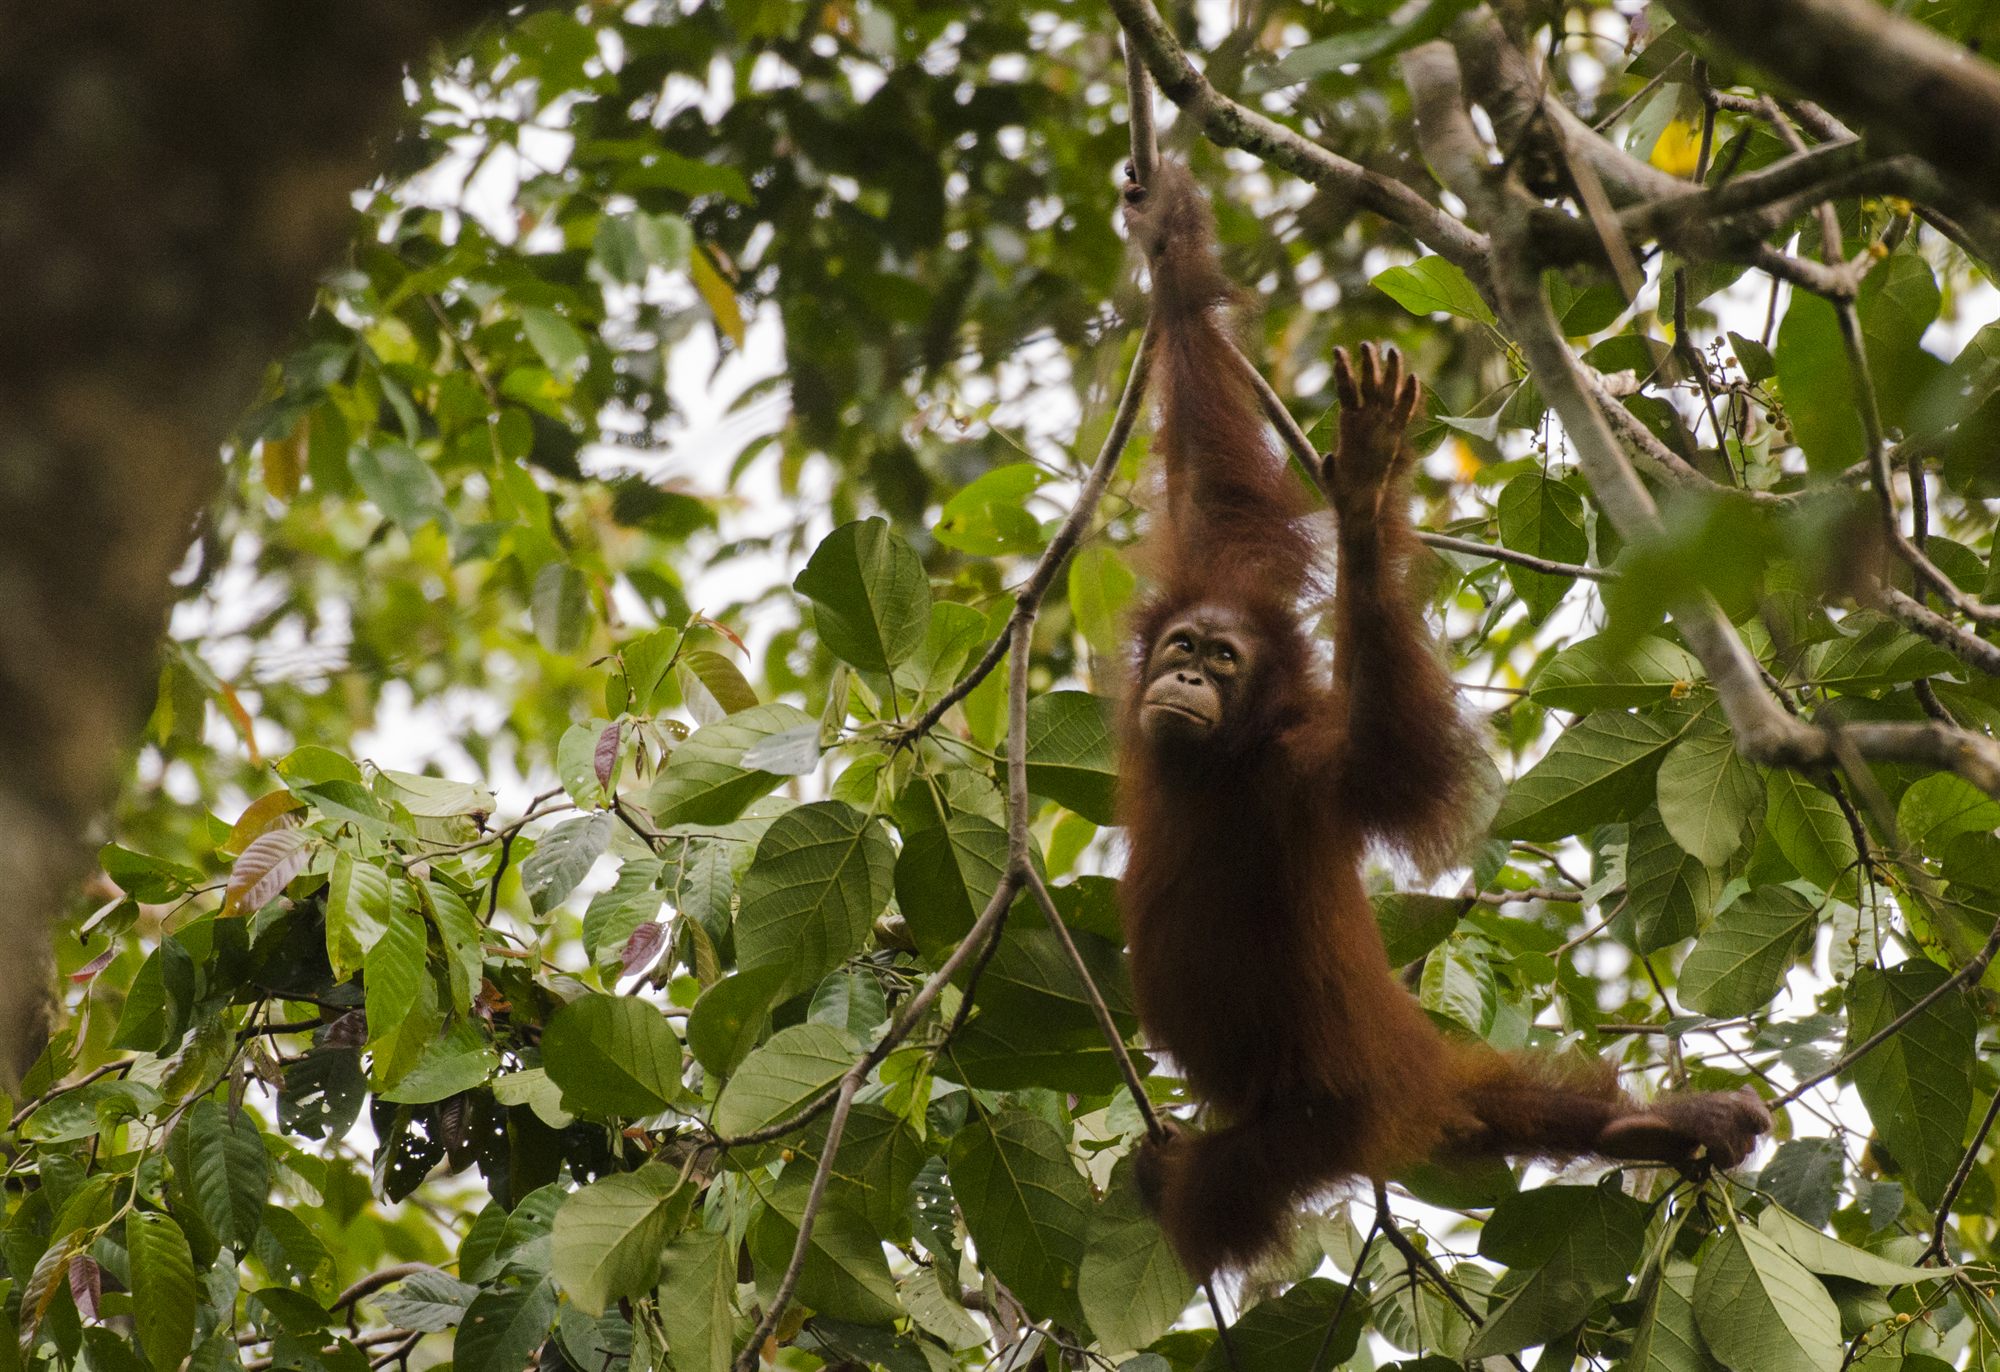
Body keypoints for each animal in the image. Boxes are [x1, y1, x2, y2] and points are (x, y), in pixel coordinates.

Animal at [1114, 162, 1771, 1279]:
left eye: (1223, 662)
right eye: (1185, 645)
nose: (1189, 678)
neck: (1217, 765)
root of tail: (1411, 1073)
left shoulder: (1300, 772)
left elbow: (1397, 762)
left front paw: (1367, 495)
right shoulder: (1221, 571)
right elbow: (1215, 482)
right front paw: (1169, 237)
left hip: (1322, 1117)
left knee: (1222, 1188)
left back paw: (1178, 1192)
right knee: (1507, 1107)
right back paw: (1648, 1127)